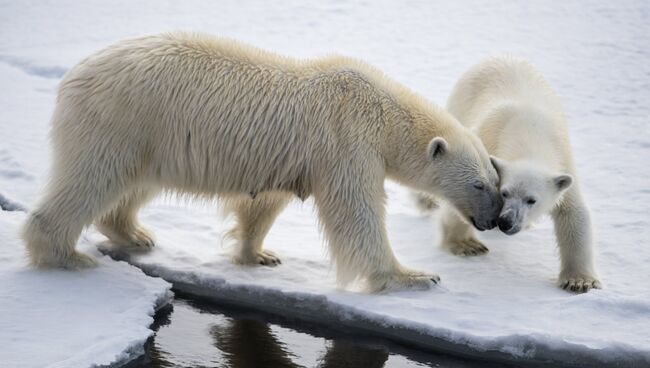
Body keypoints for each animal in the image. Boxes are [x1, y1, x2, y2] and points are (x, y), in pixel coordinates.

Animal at [19, 31, 496, 292]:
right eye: (479, 185)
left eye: (495, 180)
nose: (493, 220)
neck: (382, 109)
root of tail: (73, 75)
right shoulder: (347, 141)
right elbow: (355, 212)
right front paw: (414, 277)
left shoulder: (296, 158)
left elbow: (262, 202)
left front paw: (259, 254)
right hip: (120, 119)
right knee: (92, 178)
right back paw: (67, 256)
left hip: (148, 136)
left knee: (133, 184)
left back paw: (136, 233)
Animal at [430, 56, 596, 294]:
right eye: (505, 193)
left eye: (531, 200)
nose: (505, 222)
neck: (529, 132)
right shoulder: (486, 141)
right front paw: (466, 245)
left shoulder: (563, 162)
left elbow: (573, 214)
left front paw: (579, 281)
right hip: (461, 101)